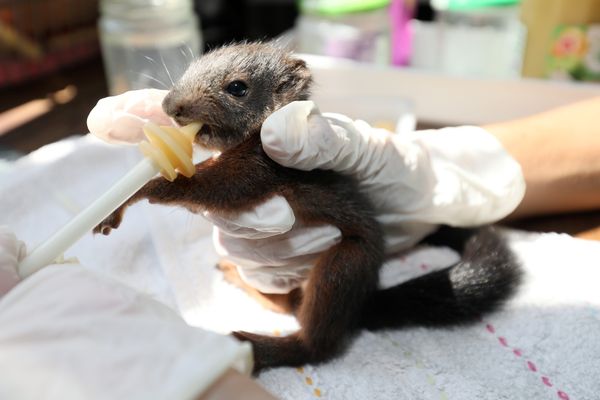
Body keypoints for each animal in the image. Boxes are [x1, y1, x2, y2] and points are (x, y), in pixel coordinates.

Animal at [94, 43, 520, 376]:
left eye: (237, 88)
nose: (170, 106)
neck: (254, 137)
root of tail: (363, 299)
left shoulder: (265, 166)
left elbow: (220, 188)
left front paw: (133, 193)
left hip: (343, 266)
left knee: (316, 341)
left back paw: (260, 347)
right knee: (292, 306)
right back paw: (243, 279)